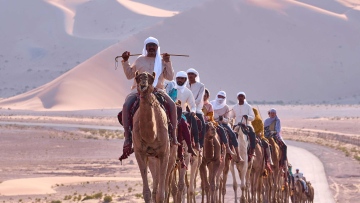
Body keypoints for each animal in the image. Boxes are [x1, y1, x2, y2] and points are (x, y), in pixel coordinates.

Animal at [133, 70, 171, 202]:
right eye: (137, 78)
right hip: (153, 157)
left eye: (150, 78)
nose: (143, 85)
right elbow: (147, 193)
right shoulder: (140, 152)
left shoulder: (165, 153)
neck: (151, 136)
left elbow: (162, 194)